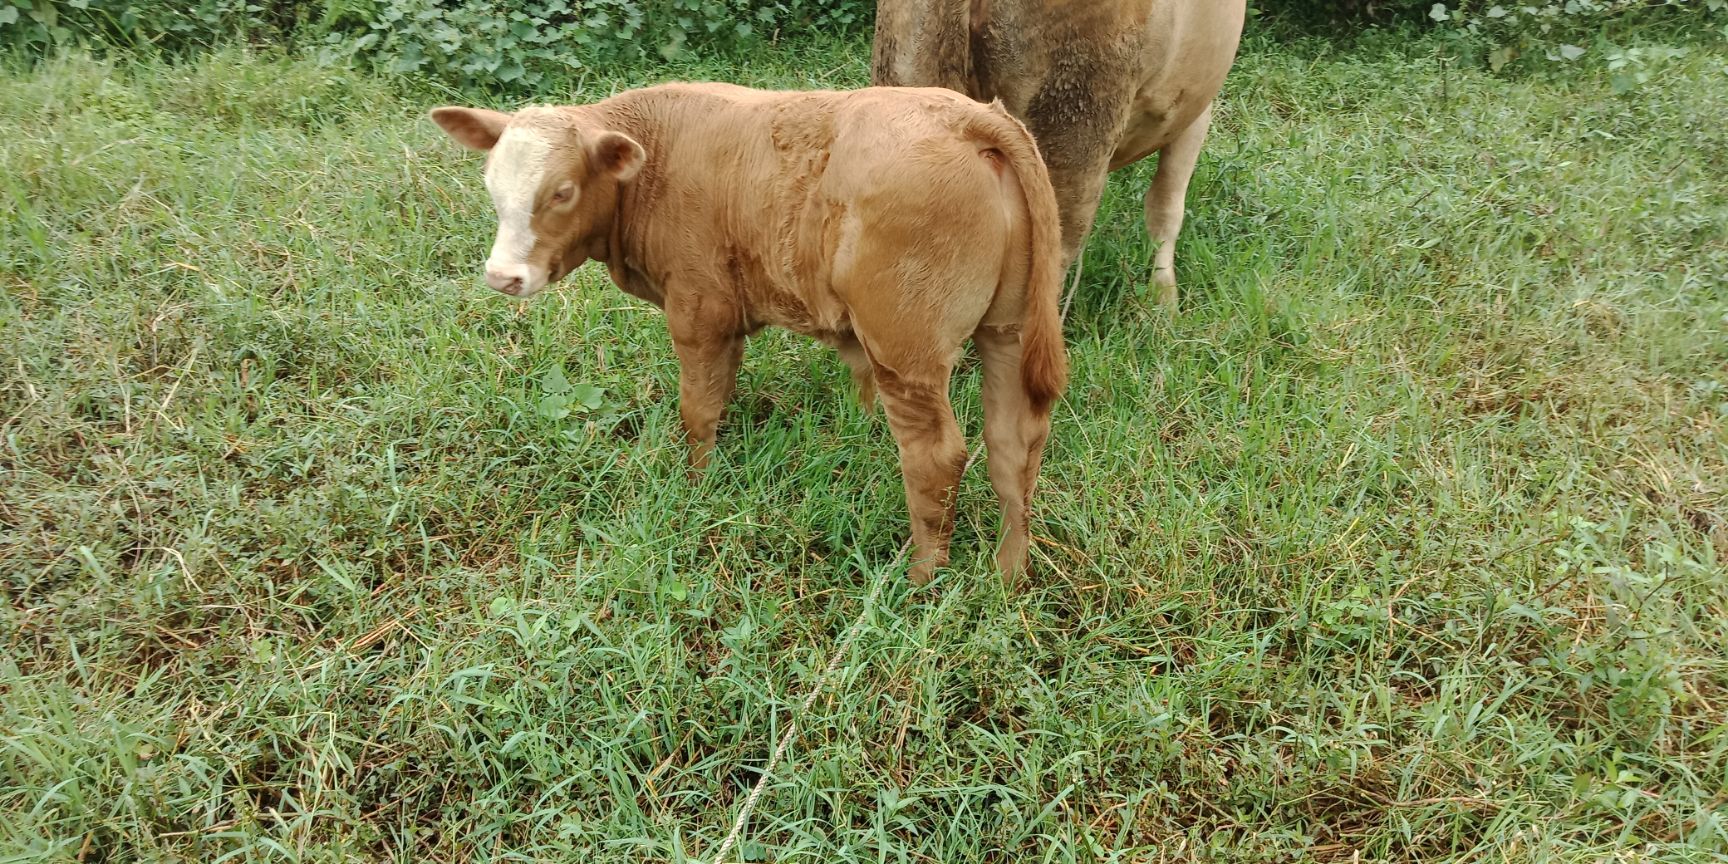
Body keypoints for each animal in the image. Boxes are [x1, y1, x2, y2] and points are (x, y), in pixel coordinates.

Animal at [428, 82, 1064, 580]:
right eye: (491, 187)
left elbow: (697, 409)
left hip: (905, 346)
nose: (502, 276)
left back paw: (922, 577)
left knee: (936, 457)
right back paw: (1010, 574)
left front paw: (696, 486)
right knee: (1014, 443)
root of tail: (966, 115)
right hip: (1008, 329)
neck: (652, 163)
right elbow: (728, 394)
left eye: (562, 191)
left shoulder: (697, 308)